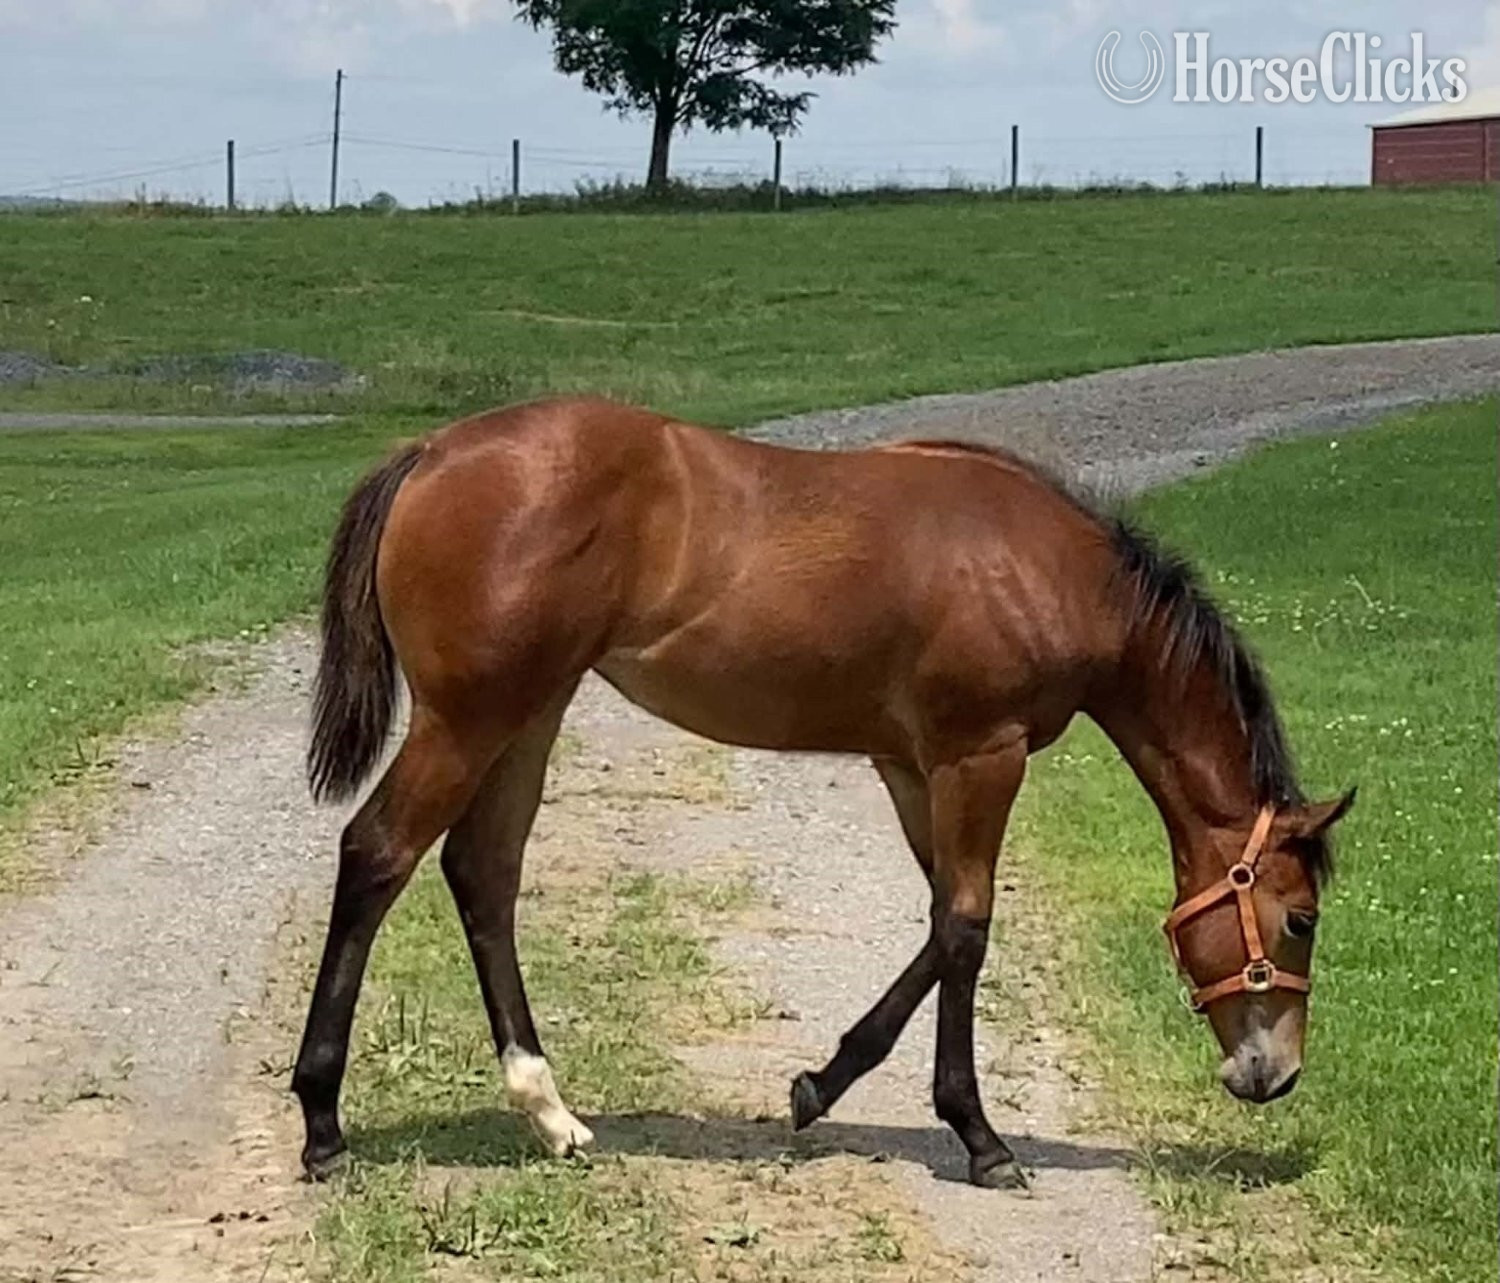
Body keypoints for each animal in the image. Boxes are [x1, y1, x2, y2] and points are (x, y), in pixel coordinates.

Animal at [292, 395, 1353, 1189]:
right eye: (1299, 917)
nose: (1274, 1075)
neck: (1047, 567)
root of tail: (430, 451)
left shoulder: (915, 768)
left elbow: (940, 924)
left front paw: (820, 1085)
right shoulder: (982, 757)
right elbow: (967, 927)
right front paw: (981, 1139)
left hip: (529, 713)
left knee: (484, 874)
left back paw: (549, 1111)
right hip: (466, 720)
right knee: (377, 854)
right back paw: (323, 1121)